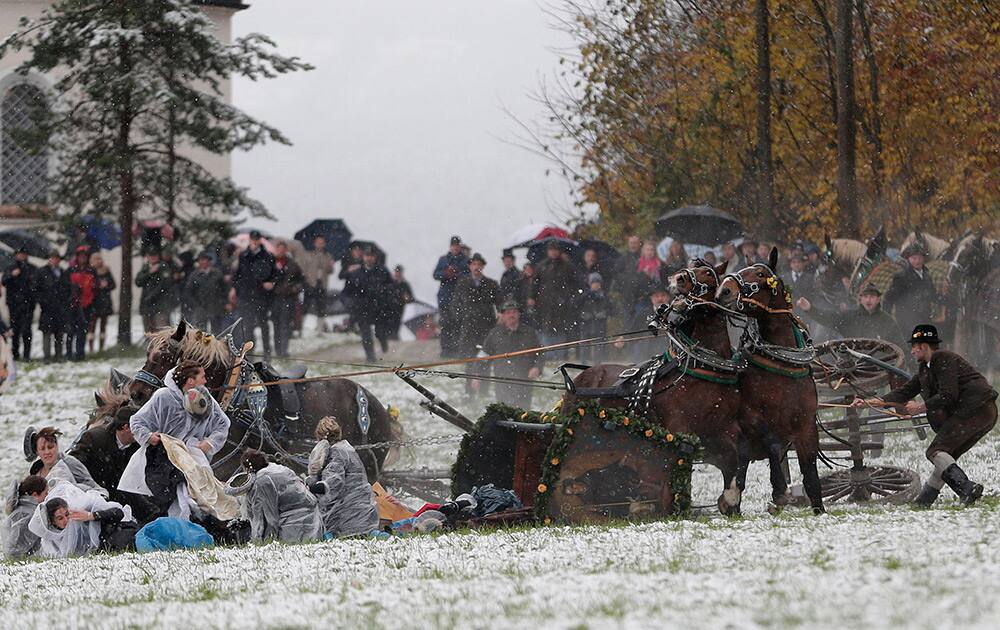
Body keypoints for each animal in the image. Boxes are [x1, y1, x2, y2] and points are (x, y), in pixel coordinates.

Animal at [127, 324, 400, 482]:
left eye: (164, 357)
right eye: (147, 353)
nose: (135, 392)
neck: (234, 394)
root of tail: (377, 406)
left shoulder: (230, 462)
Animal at [564, 264, 752, 516]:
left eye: (707, 272)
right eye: (692, 267)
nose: (677, 278)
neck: (703, 367)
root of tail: (578, 378)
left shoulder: (725, 429)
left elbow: (736, 458)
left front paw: (730, 501)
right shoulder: (679, 427)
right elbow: (678, 464)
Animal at [720, 249, 828, 516]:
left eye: (760, 274)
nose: (724, 290)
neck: (782, 366)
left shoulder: (806, 425)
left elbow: (810, 470)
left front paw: (819, 508)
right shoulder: (751, 417)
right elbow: (772, 443)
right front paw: (779, 489)